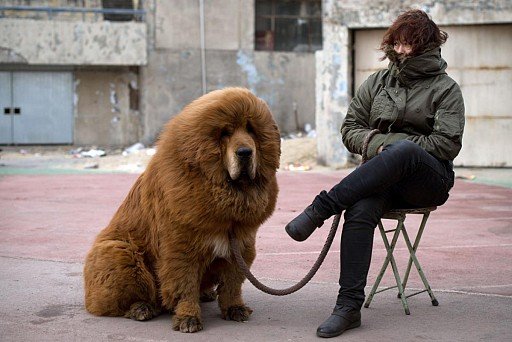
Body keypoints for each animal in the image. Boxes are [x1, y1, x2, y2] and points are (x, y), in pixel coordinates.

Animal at [83, 87, 280, 332]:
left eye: (250, 129)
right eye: (225, 133)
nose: (245, 152)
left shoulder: (242, 245)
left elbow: (232, 284)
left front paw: (235, 308)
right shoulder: (181, 248)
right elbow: (184, 285)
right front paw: (188, 318)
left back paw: (205, 294)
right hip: (119, 252)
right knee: (124, 299)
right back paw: (142, 308)